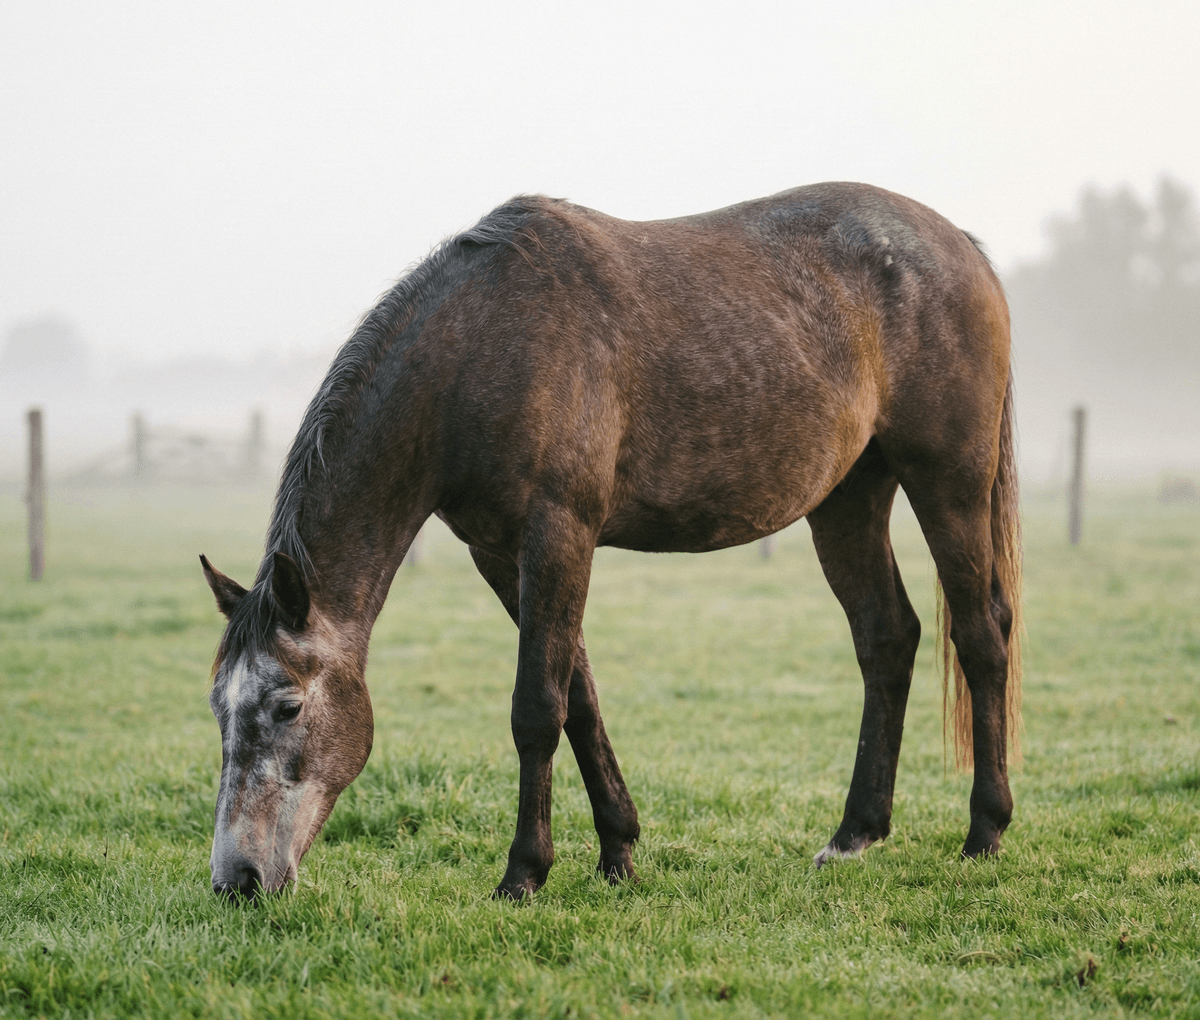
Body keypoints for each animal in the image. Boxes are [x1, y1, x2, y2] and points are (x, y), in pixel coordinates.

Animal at [201, 181, 1022, 901]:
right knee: (888, 638)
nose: (238, 880)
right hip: (849, 500)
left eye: (288, 707)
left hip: (948, 483)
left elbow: (537, 706)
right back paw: (855, 834)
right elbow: (580, 698)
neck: (480, 344)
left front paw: (524, 873)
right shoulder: (501, 554)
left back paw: (985, 832)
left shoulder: (558, 532)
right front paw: (617, 852)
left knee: (981, 637)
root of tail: (964, 248)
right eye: (218, 709)